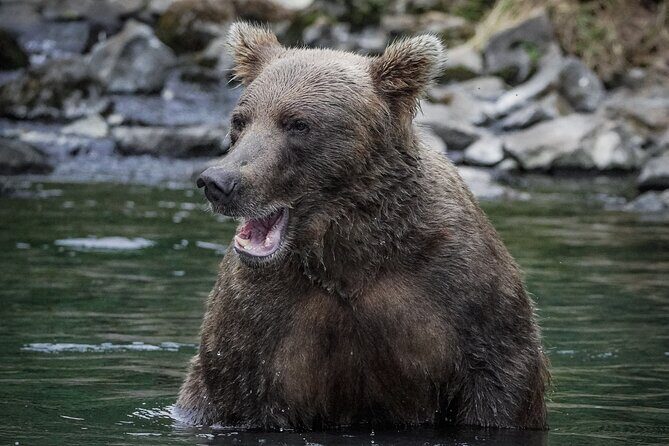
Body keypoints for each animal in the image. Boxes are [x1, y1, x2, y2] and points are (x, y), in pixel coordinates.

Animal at [176, 22, 549, 431]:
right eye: (240, 120)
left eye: (297, 123)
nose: (218, 181)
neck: (347, 252)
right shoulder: (254, 316)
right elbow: (231, 386)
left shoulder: (461, 289)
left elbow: (498, 378)